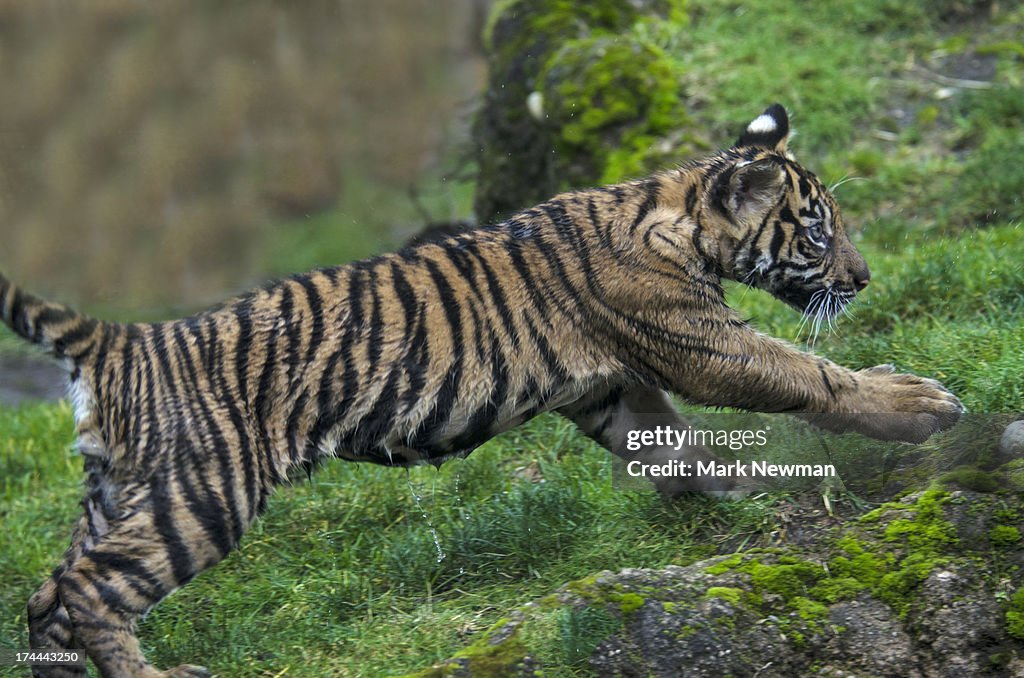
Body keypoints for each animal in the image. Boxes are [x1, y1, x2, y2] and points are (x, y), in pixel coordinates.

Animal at [1, 104, 962, 677]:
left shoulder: (613, 389)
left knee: (49, 595)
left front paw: (752, 496)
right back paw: (152, 673)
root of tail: (122, 337)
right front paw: (921, 405)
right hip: (203, 492)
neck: (681, 216)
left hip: (118, 487)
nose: (866, 279)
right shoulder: (703, 347)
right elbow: (811, 375)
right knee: (91, 590)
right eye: (819, 231)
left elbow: (679, 449)